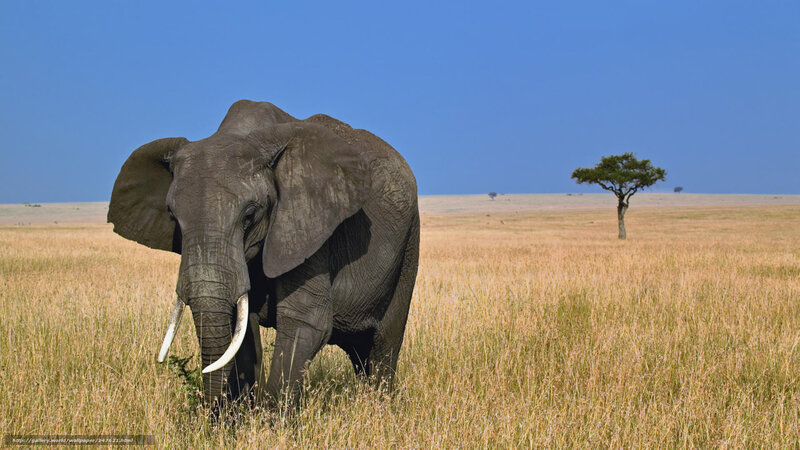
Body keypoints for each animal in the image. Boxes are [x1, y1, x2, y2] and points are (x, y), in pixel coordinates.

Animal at [108, 100, 419, 409]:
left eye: (249, 215)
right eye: (173, 217)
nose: (212, 414)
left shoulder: (307, 224)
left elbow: (306, 320)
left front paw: (270, 420)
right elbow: (242, 329)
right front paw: (240, 416)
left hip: (408, 245)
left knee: (383, 344)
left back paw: (378, 407)